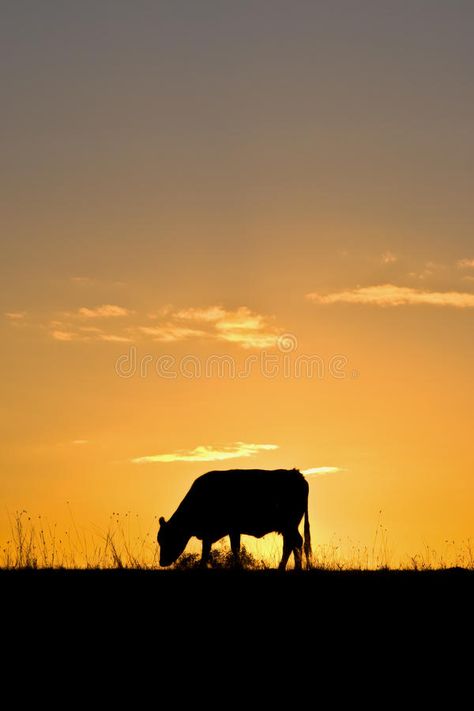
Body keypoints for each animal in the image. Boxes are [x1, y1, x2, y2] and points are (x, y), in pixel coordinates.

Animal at [157, 468, 312, 572]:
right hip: (288, 526)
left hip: (289, 525)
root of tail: (297, 474)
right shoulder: (226, 531)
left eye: (168, 539)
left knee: (294, 542)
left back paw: (290, 568)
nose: (162, 562)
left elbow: (218, 549)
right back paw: (290, 567)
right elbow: (228, 548)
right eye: (160, 540)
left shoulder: (226, 530)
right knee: (292, 543)